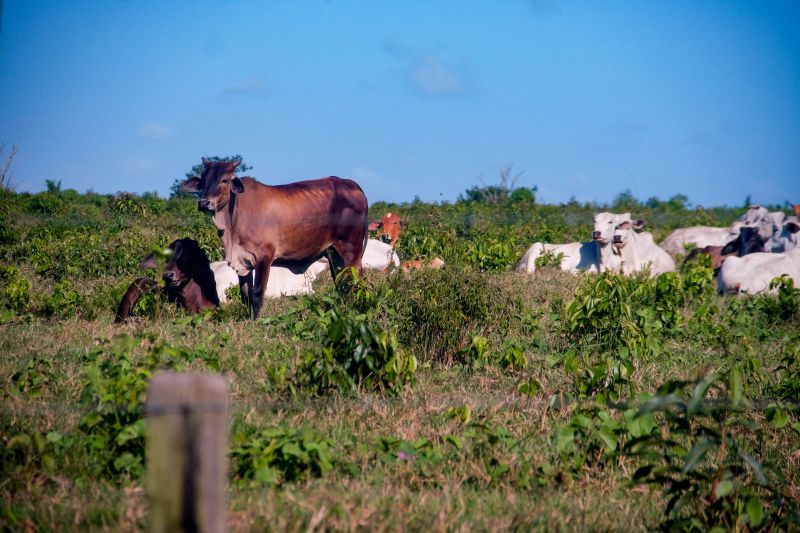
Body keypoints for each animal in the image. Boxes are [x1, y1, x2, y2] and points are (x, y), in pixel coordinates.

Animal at [179, 157, 368, 316]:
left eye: (224, 180)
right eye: (203, 181)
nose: (204, 203)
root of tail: (350, 183)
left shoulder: (264, 258)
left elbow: (256, 295)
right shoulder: (242, 261)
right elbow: (245, 295)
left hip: (351, 251)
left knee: (357, 280)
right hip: (333, 253)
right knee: (342, 283)